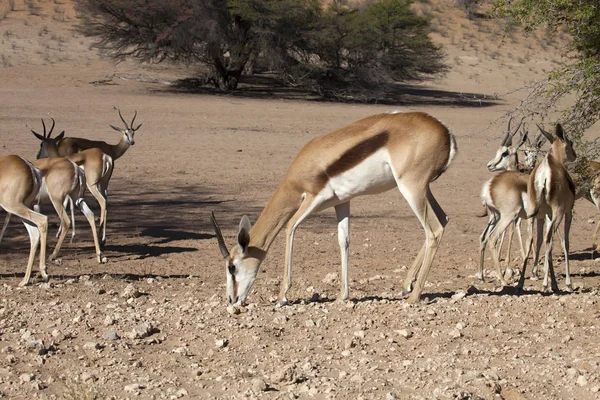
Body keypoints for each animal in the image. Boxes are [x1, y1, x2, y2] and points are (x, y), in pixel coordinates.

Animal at [0, 155, 48, 286]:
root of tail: (30, 167)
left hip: (13, 205)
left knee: (43, 220)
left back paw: (43, 273)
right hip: (23, 206)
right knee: (34, 234)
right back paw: (25, 280)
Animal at [209, 112, 458, 306]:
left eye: (232, 267)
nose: (231, 300)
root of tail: (446, 132)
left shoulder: (312, 199)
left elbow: (290, 228)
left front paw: (281, 297)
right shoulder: (342, 202)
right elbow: (343, 241)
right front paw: (342, 296)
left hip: (411, 187)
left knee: (433, 230)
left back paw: (413, 297)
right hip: (423, 189)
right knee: (443, 219)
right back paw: (406, 285)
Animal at [520, 123, 576, 292]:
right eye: (570, 143)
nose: (575, 155)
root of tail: (544, 172)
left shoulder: (544, 216)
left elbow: (539, 240)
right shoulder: (567, 212)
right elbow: (565, 242)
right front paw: (567, 283)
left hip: (532, 213)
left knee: (530, 239)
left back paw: (520, 285)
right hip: (558, 213)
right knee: (549, 239)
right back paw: (546, 284)